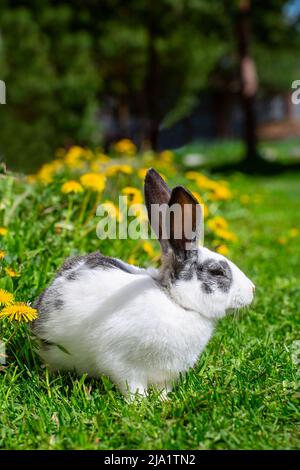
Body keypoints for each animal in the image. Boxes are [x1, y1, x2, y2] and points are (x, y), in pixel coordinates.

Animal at [31, 167, 254, 398]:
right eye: (217, 271)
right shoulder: (123, 365)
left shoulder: (166, 375)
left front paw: (164, 401)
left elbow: (163, 389)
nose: (252, 290)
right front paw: (140, 403)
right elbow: (132, 387)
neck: (175, 301)